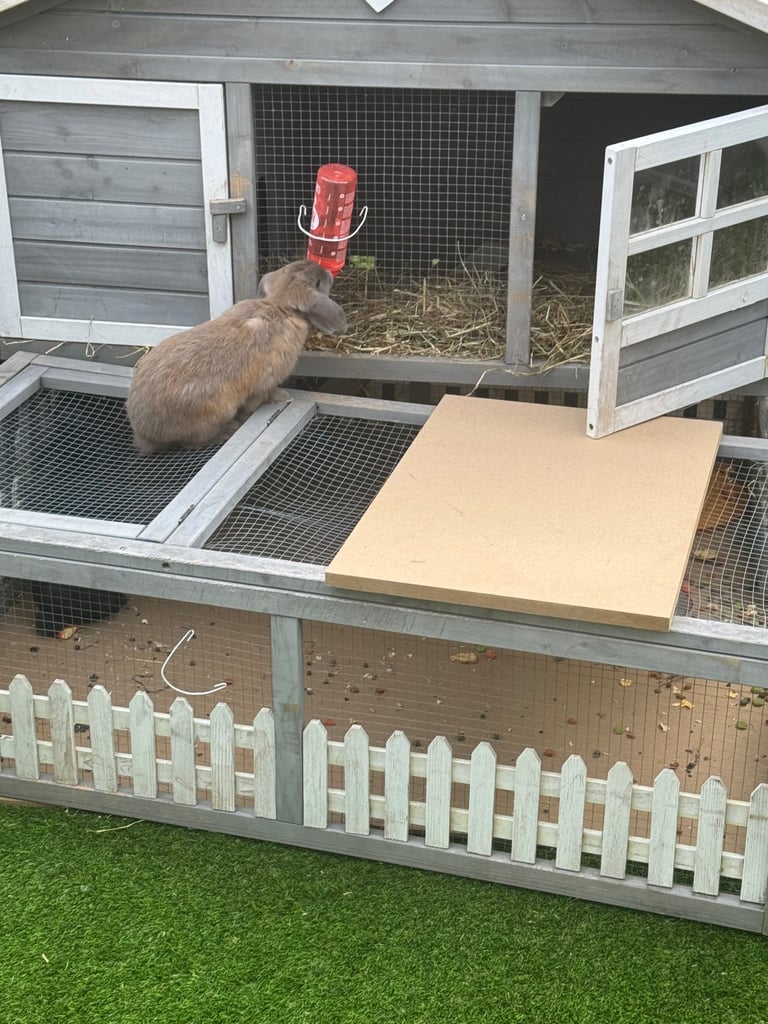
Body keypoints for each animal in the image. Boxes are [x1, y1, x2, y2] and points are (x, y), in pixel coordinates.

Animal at [126, 258, 347, 453]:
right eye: (317, 282)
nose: (327, 272)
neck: (279, 305)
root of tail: (144, 431)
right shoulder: (264, 384)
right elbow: (262, 398)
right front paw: (284, 397)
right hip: (215, 413)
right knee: (191, 442)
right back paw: (229, 430)